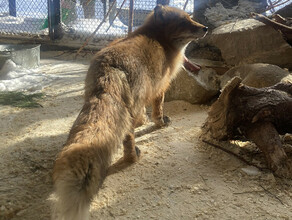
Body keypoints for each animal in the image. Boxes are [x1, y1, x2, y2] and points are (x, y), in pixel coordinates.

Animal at [51, 5, 206, 220]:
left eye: (191, 19)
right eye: (185, 22)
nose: (205, 28)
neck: (160, 40)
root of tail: (109, 66)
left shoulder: (139, 100)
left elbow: (141, 115)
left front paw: (143, 121)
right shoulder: (160, 88)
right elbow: (158, 110)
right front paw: (159, 122)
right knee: (128, 135)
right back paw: (132, 157)